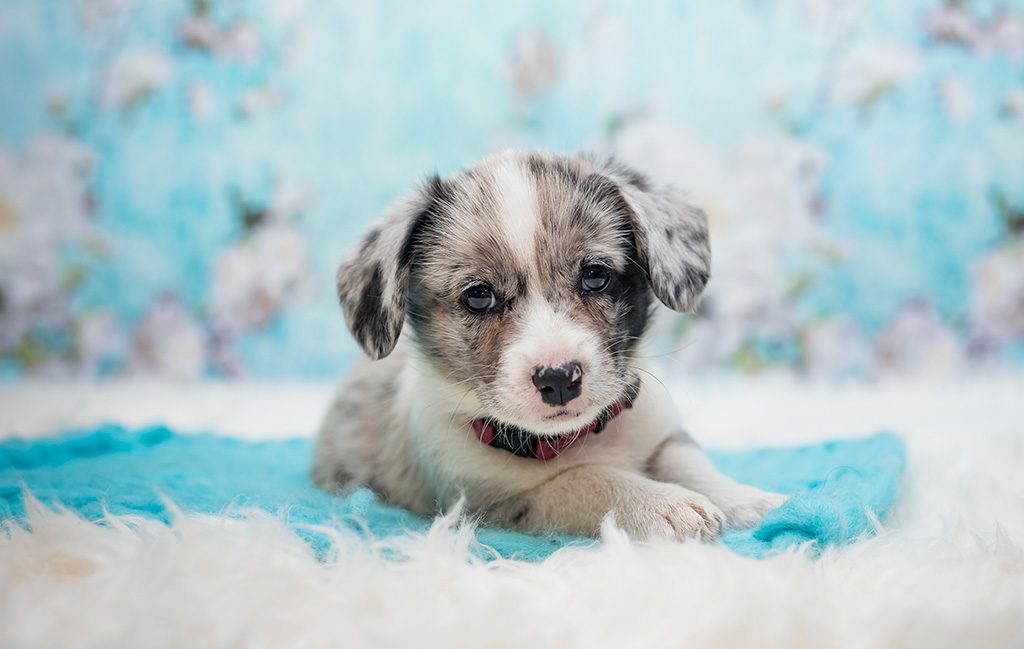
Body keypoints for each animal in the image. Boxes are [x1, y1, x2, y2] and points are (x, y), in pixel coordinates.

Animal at [311, 149, 782, 536]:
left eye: (595, 276)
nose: (559, 379)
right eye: (478, 296)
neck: (576, 438)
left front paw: (745, 499)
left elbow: (688, 459)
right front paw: (664, 505)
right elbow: (591, 480)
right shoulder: (497, 500)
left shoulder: (661, 429)